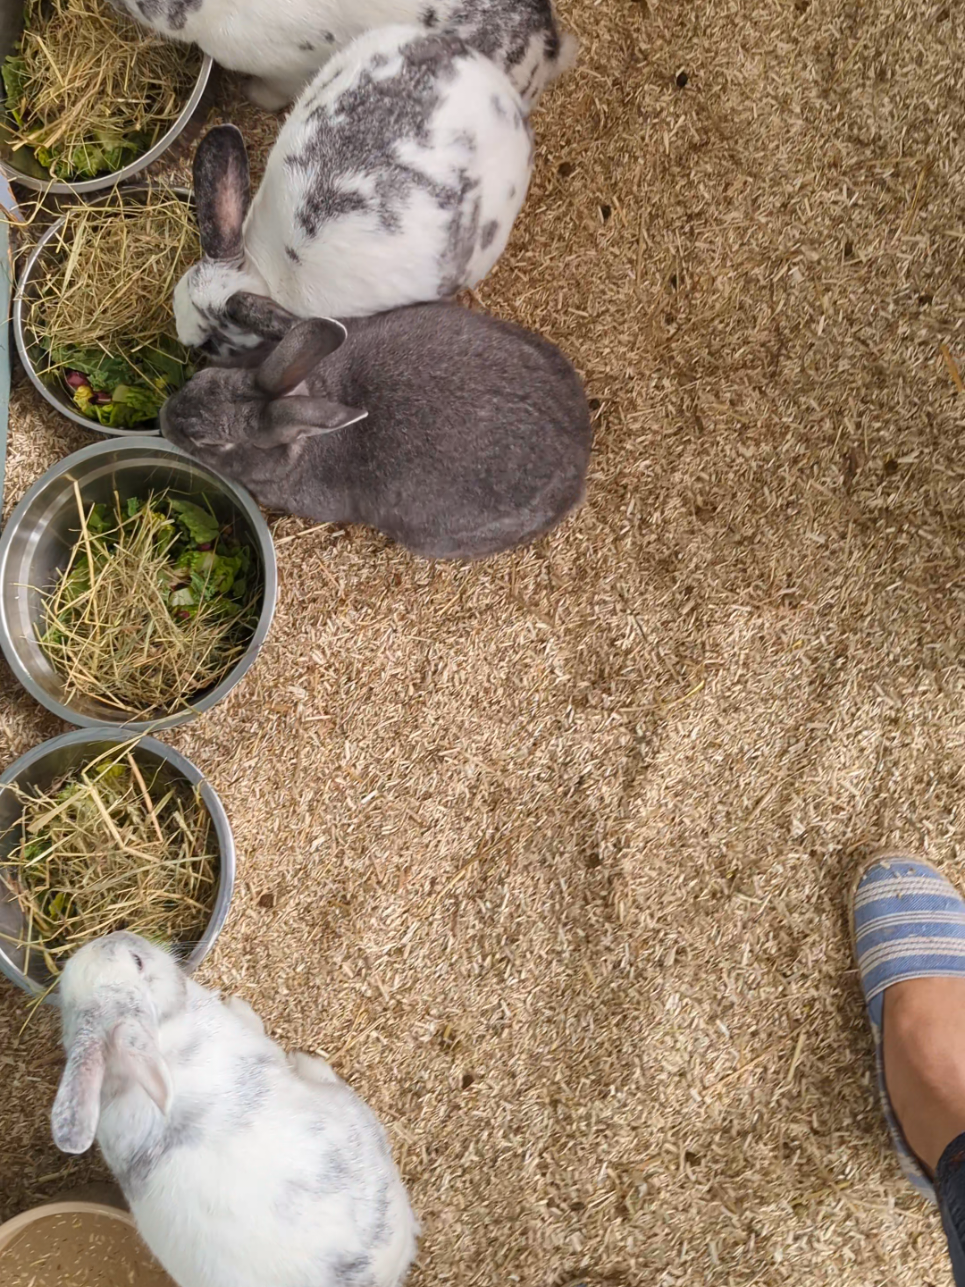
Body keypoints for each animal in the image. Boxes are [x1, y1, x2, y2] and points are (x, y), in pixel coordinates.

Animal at [51, 931, 419, 1287]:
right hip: (354, 1117)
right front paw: (241, 1006)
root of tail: (387, 1270)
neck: (163, 1034)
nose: (119, 935)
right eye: (138, 961)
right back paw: (310, 1063)